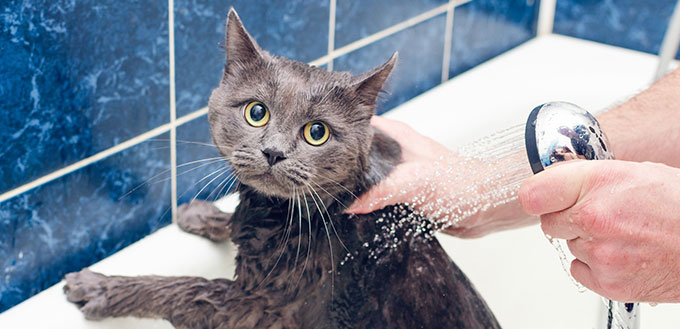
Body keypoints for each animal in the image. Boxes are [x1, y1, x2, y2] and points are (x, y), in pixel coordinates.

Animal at [63, 8, 500, 328]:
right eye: (256, 112)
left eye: (317, 133)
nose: (273, 152)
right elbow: (238, 222)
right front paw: (202, 213)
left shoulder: (258, 311)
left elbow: (185, 286)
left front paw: (102, 287)